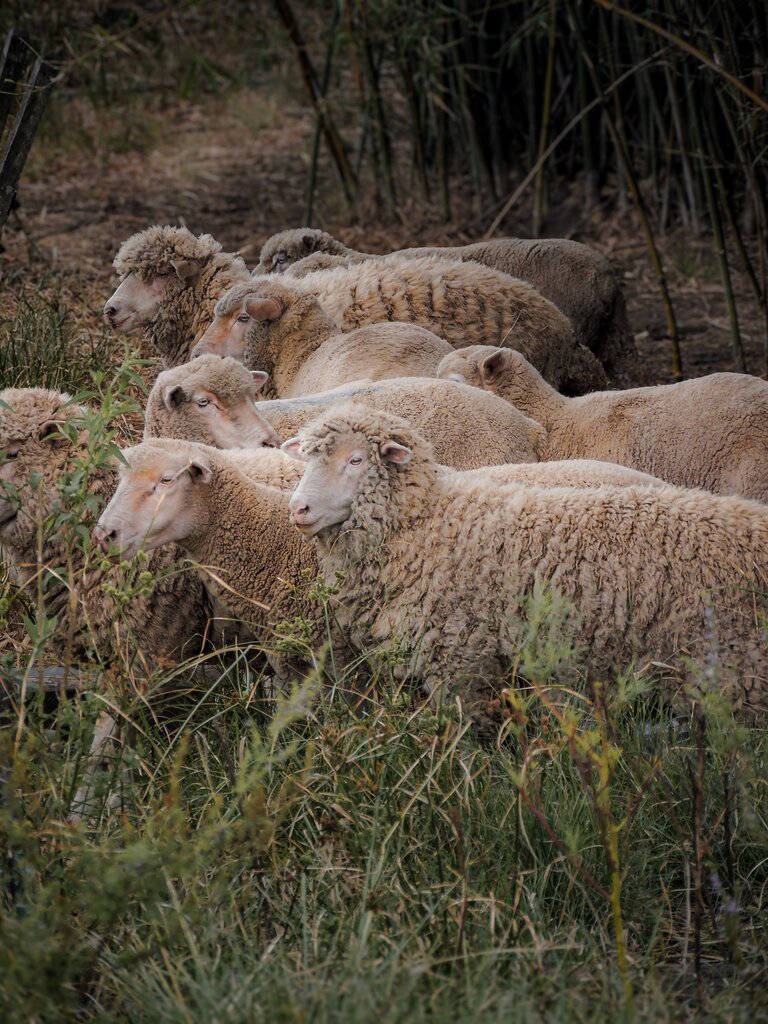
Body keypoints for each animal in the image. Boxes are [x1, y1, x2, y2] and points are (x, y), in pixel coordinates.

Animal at [284, 404, 768, 731]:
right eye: (306, 459)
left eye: (356, 461)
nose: (298, 508)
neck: (427, 521)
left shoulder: (460, 658)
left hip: (736, 673)